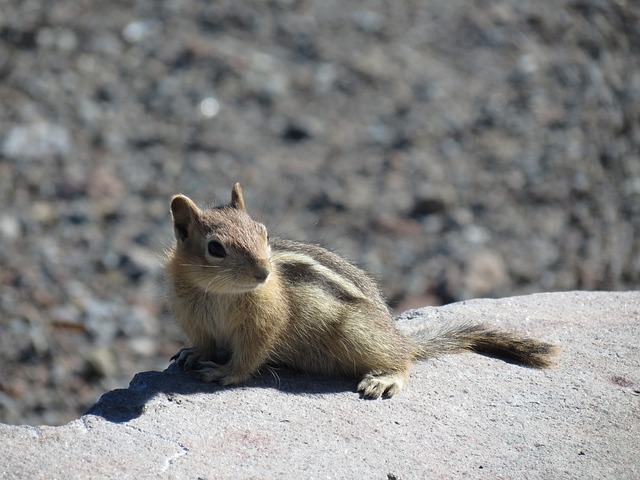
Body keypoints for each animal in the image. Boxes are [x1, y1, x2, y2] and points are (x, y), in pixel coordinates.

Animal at [165, 183, 558, 399]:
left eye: (263, 232)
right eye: (216, 248)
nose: (264, 271)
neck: (220, 293)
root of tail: (399, 334)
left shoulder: (264, 322)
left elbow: (250, 355)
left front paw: (224, 373)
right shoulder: (192, 317)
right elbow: (203, 343)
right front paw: (190, 354)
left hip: (357, 333)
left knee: (403, 359)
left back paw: (385, 378)